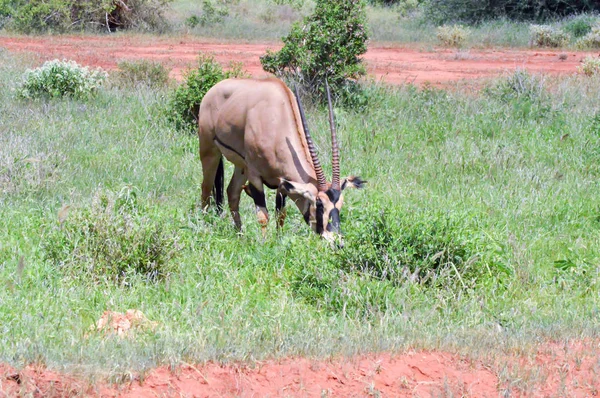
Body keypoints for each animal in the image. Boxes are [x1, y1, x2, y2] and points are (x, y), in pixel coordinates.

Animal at [199, 76, 364, 241]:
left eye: (340, 205)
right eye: (319, 204)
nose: (337, 241)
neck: (278, 120)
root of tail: (214, 89)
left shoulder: (282, 183)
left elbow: (281, 214)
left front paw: (279, 240)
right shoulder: (254, 176)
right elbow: (263, 216)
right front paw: (264, 242)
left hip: (241, 167)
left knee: (232, 192)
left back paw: (240, 234)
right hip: (210, 152)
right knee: (206, 189)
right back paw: (204, 226)